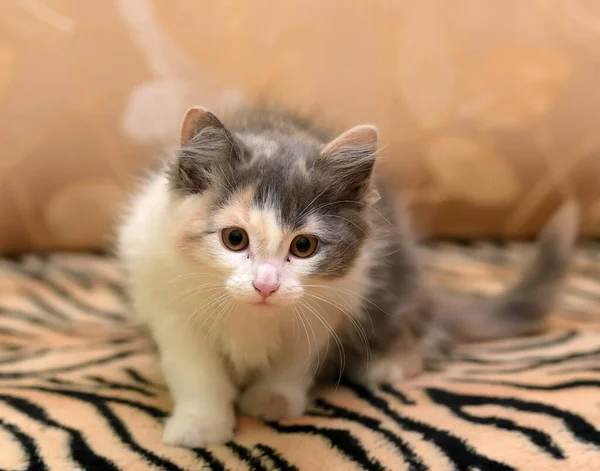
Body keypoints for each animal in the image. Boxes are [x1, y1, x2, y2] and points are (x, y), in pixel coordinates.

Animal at [115, 106, 580, 450]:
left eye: (304, 246)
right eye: (235, 238)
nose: (266, 284)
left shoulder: (331, 305)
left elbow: (292, 362)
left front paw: (272, 400)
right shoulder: (169, 306)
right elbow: (196, 373)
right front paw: (201, 425)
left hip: (397, 290)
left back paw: (386, 365)